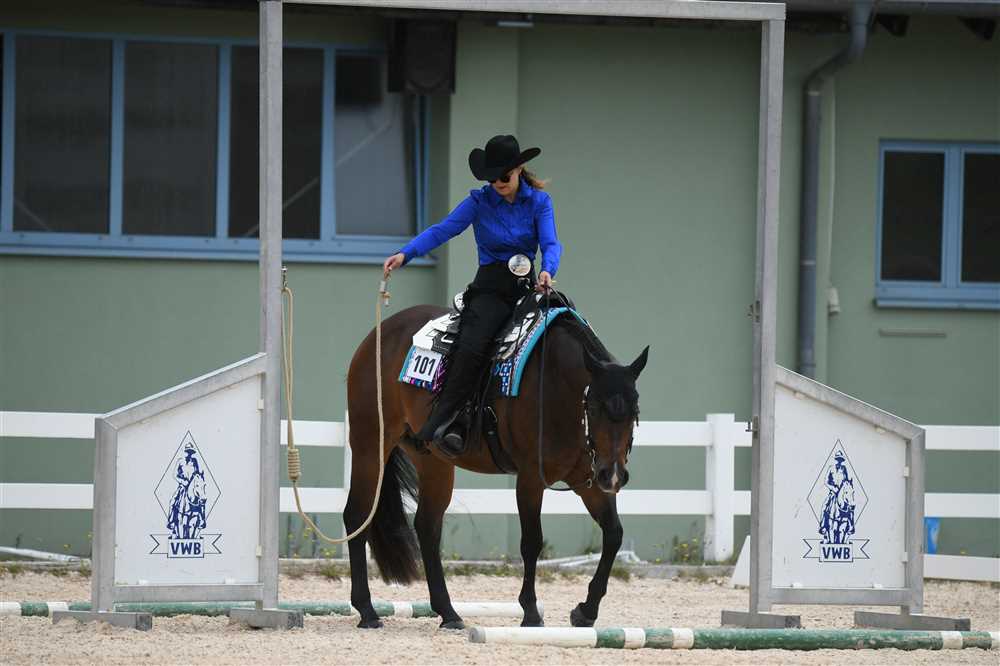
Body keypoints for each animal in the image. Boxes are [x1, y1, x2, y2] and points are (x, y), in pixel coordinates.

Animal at [343, 299, 649, 630]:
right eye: (593, 408)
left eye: (634, 411)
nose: (614, 476)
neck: (555, 384)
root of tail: (381, 331)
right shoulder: (530, 479)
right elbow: (532, 542)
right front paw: (530, 612)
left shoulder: (587, 481)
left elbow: (614, 535)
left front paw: (586, 610)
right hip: (370, 442)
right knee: (357, 515)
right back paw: (367, 610)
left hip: (433, 461)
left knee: (427, 526)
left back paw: (448, 613)